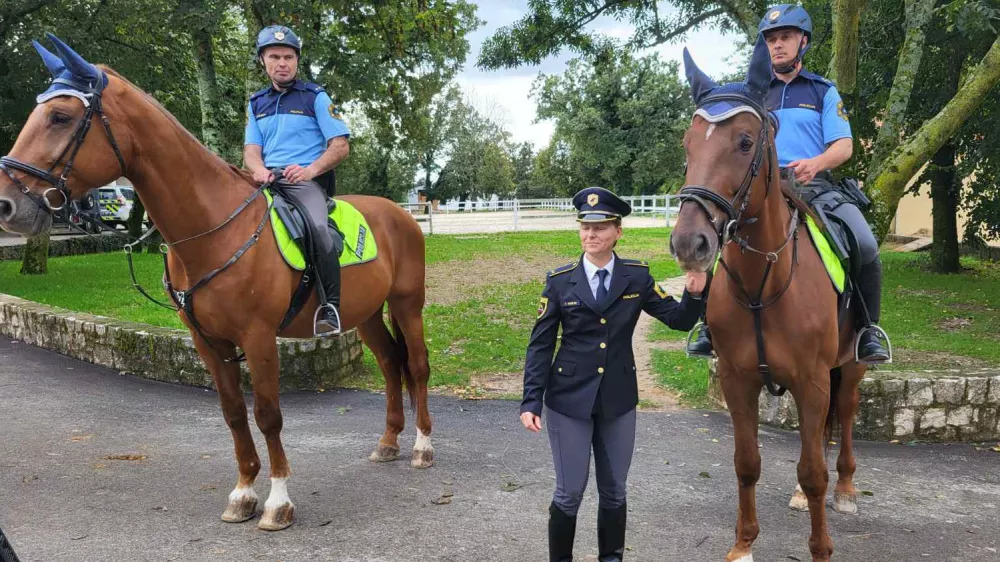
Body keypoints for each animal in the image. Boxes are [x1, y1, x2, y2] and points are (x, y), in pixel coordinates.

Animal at [0, 36, 432, 528]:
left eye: (60, 116)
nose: (8, 204)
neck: (214, 228)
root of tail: (402, 214)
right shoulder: (208, 342)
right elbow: (233, 414)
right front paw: (243, 493)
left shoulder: (258, 337)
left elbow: (267, 415)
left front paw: (278, 502)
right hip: (368, 315)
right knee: (391, 365)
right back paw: (389, 442)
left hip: (407, 305)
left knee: (417, 366)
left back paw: (422, 447)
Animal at [672, 40, 868, 560]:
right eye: (688, 144)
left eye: (744, 142)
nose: (689, 244)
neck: (764, 282)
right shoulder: (738, 380)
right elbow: (747, 462)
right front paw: (743, 545)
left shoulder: (813, 382)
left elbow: (814, 472)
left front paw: (820, 548)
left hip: (851, 367)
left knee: (844, 416)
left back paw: (847, 490)